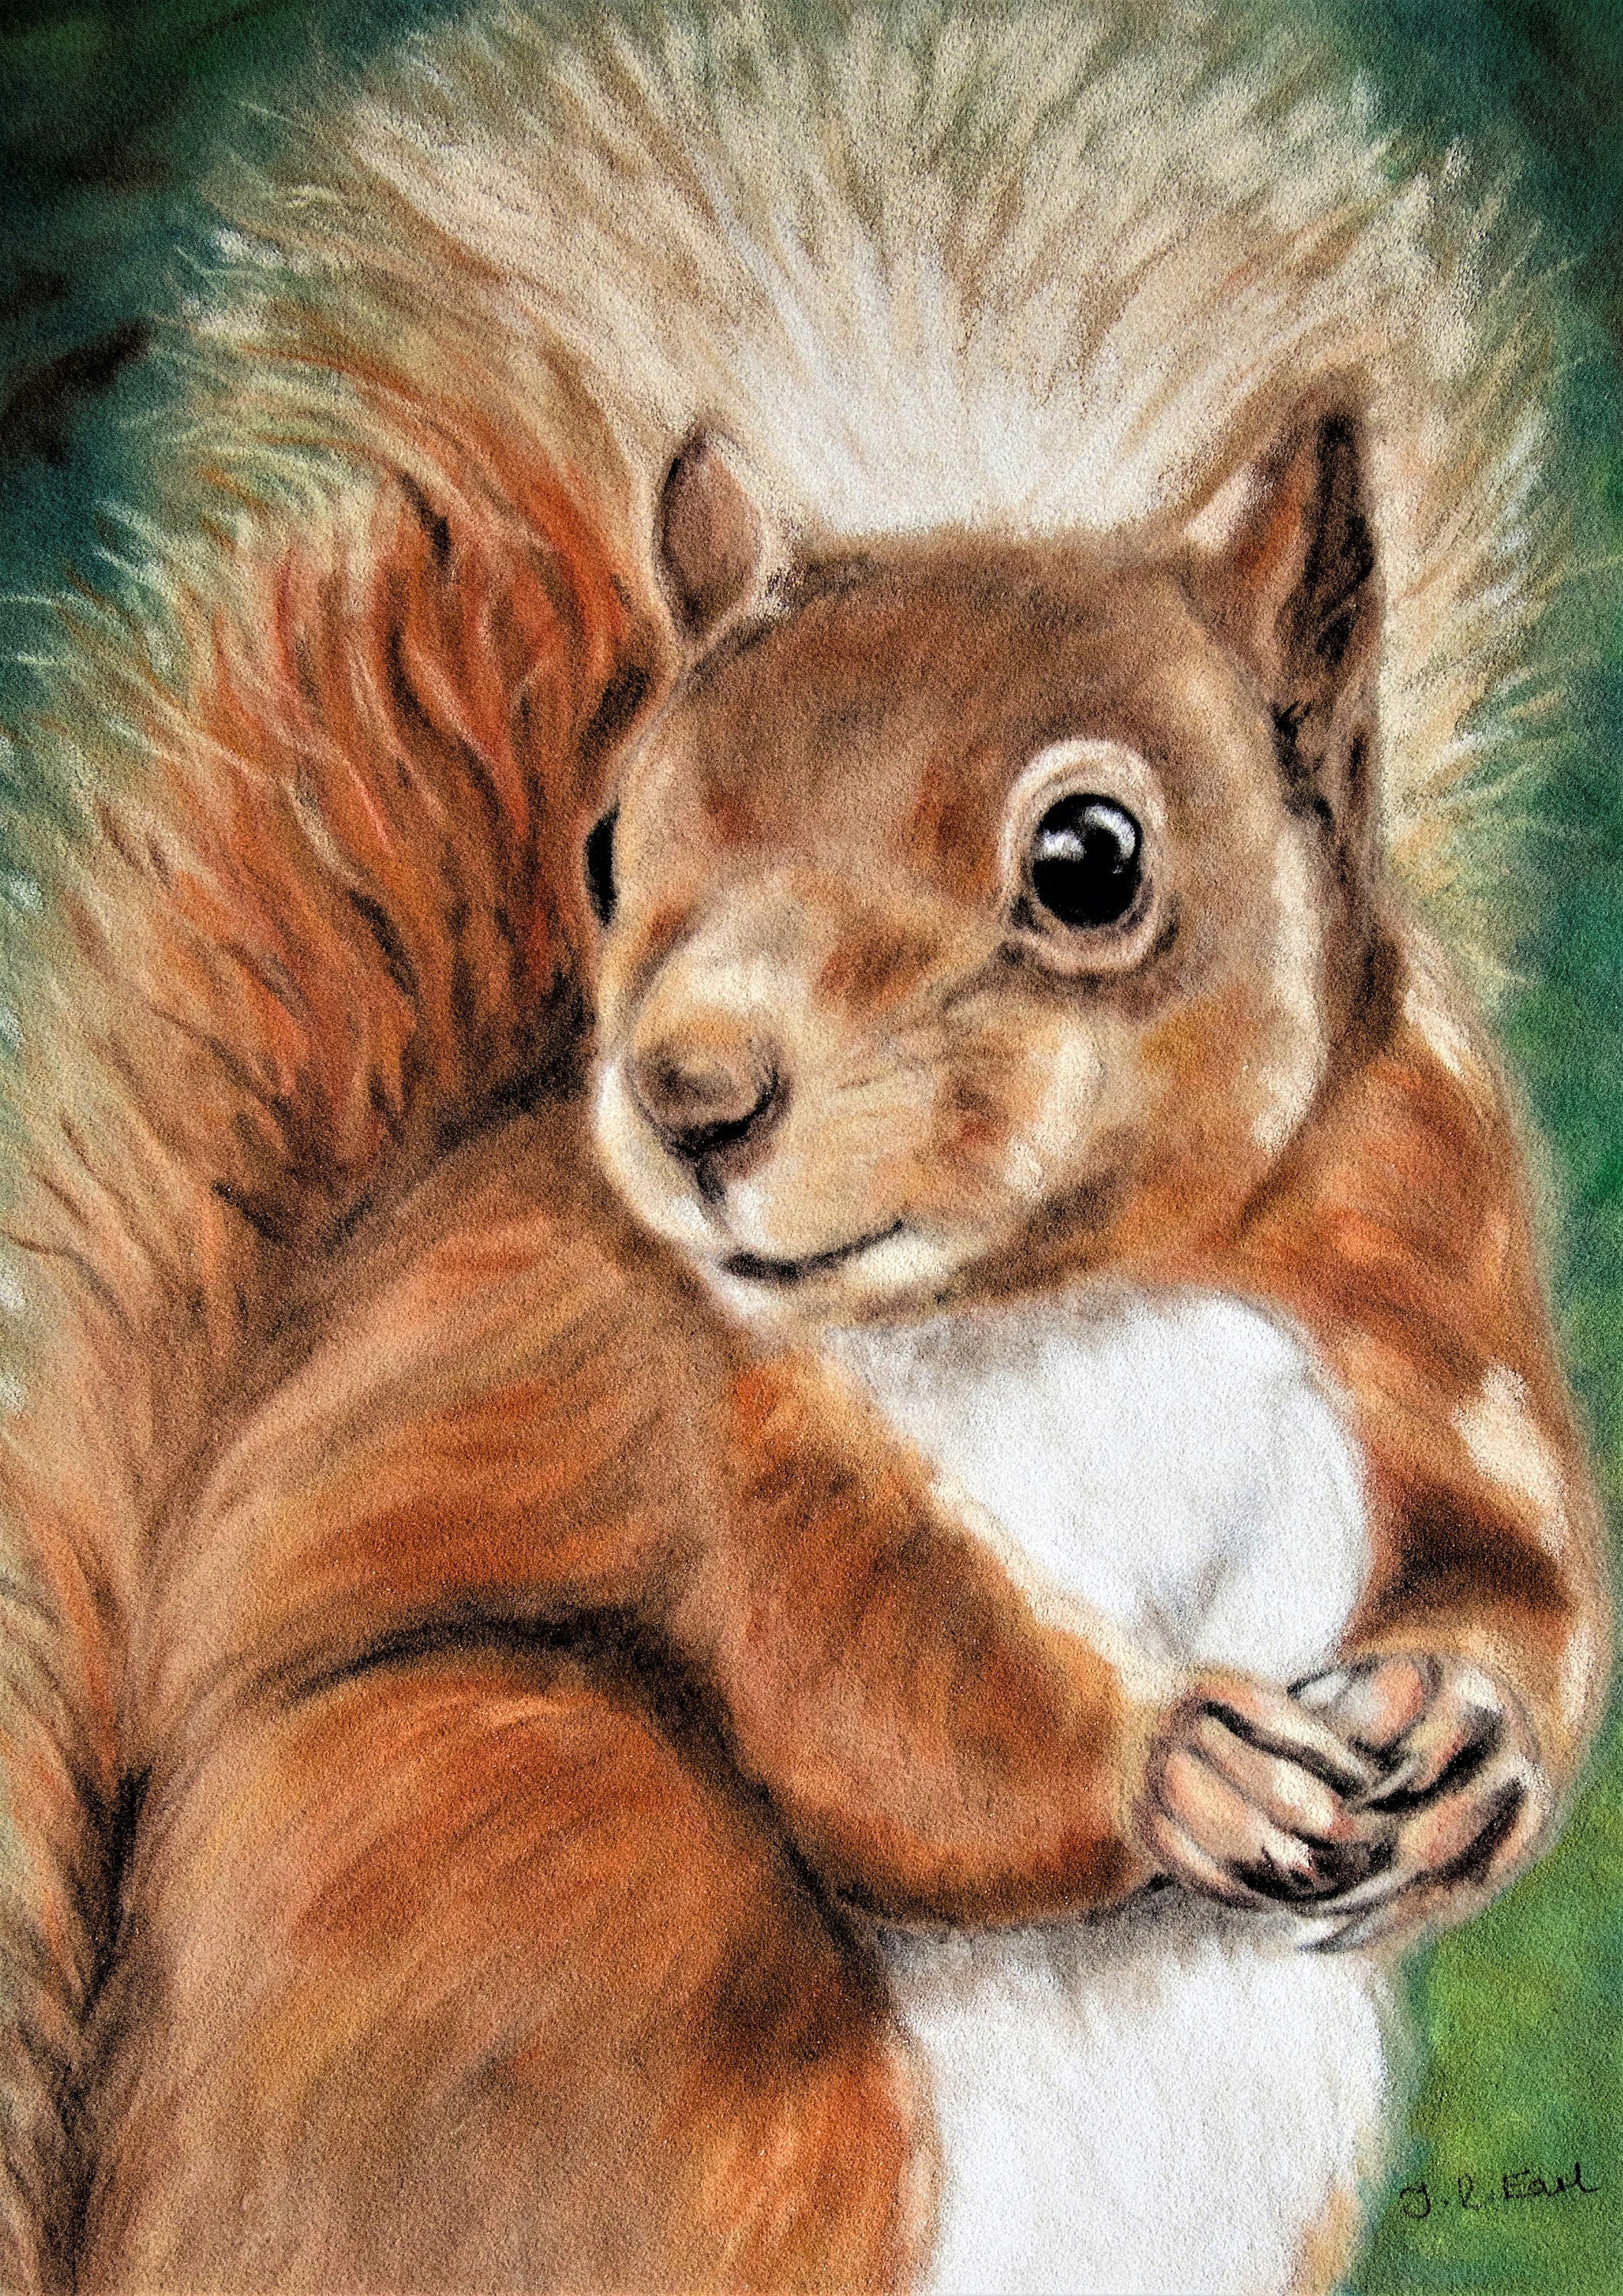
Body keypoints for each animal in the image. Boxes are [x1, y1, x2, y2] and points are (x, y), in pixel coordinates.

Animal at [0, 1, 1608, 2291]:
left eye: (1091, 859)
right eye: (605, 845)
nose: (688, 1095)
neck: (1068, 1282)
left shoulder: (1426, 1244)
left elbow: (1519, 1540)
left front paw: (1472, 1733)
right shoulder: (693, 1422)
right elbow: (870, 1694)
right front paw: (1179, 1765)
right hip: (559, 1892)